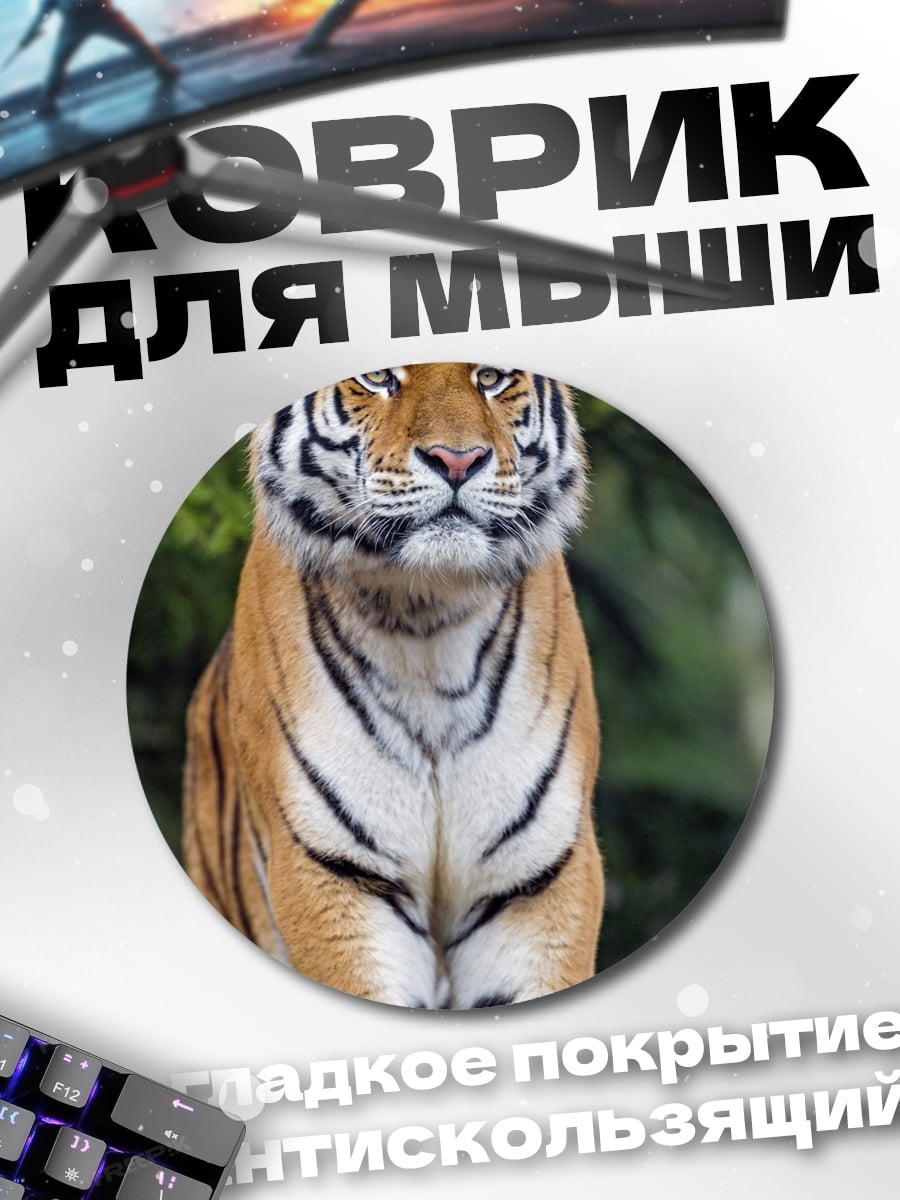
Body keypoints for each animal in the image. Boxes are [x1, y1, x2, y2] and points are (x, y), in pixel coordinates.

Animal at [182, 362, 604, 1009]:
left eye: (491, 376)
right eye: (377, 377)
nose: (457, 460)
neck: (426, 616)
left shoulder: (538, 876)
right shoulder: (332, 869)